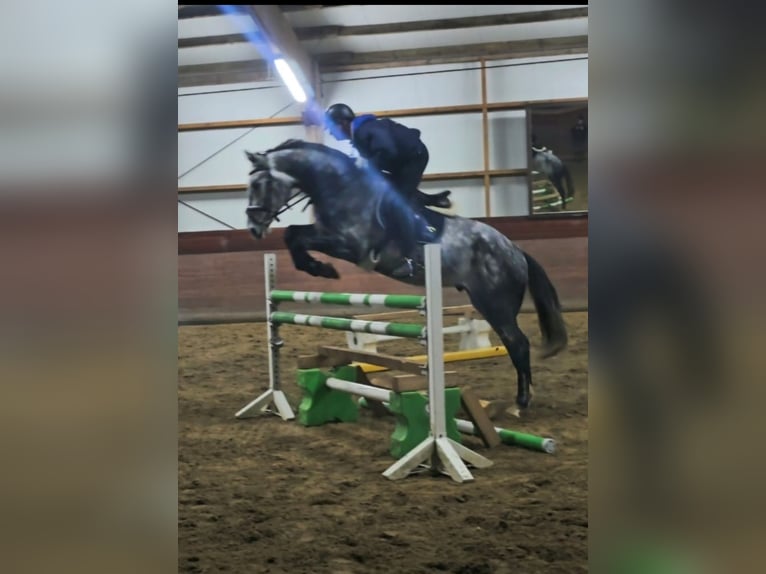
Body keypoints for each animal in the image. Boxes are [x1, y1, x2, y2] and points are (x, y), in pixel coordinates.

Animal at [244, 138, 568, 415]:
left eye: (260, 184)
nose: (253, 227)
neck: (340, 188)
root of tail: (515, 250)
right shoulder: (329, 235)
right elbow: (293, 234)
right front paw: (316, 267)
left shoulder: (351, 245)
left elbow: (297, 237)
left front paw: (322, 269)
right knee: (516, 343)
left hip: (494, 304)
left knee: (518, 343)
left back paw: (520, 403)